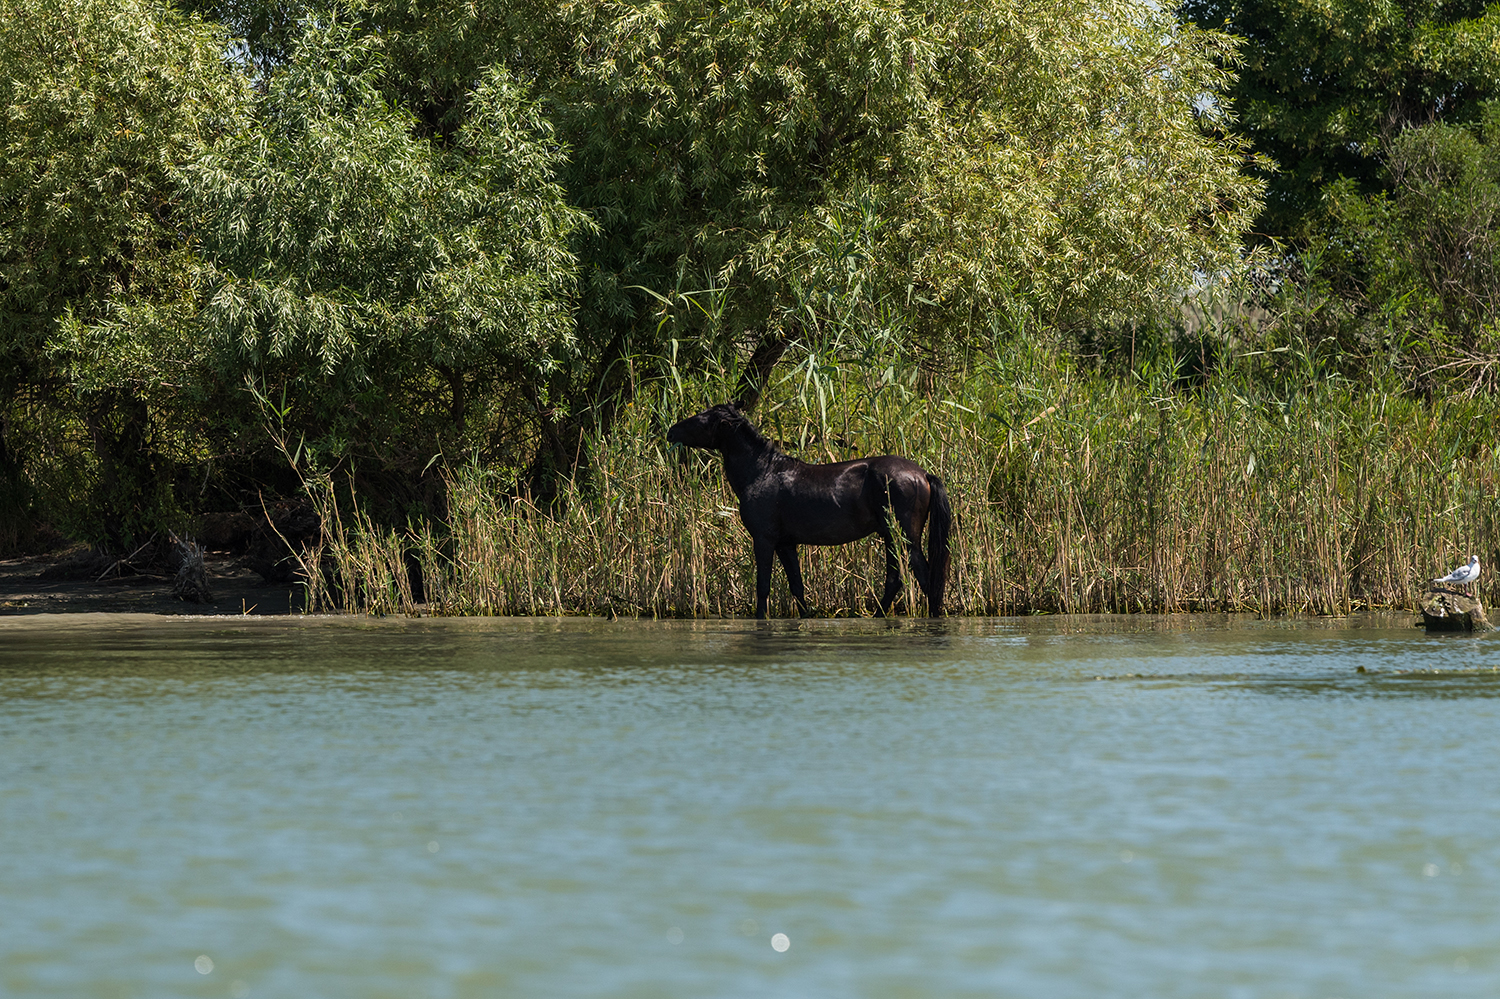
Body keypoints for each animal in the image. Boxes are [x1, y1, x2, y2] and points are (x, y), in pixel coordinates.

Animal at [666, 402, 948, 612]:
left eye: (702, 419)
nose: (671, 431)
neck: (762, 472)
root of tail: (922, 473)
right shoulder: (786, 544)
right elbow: (797, 588)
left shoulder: (764, 539)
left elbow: (763, 586)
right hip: (890, 537)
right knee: (895, 579)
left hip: (905, 537)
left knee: (923, 577)